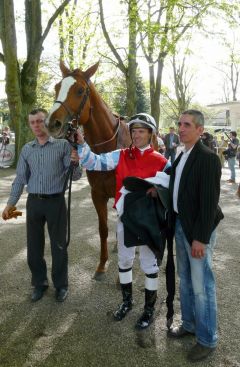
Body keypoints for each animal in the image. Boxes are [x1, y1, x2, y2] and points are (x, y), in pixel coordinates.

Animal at [45, 62, 131, 282]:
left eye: (80, 90)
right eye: (57, 87)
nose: (51, 123)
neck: (107, 150)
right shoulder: (97, 195)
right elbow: (103, 229)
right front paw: (102, 266)